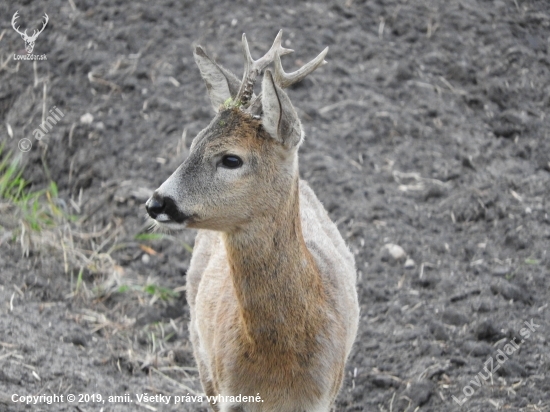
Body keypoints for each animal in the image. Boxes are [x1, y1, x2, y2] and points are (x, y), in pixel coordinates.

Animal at [147, 30, 360, 410]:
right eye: (194, 143)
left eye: (231, 159)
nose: (156, 202)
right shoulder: (229, 392)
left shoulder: (324, 395)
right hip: (202, 355)